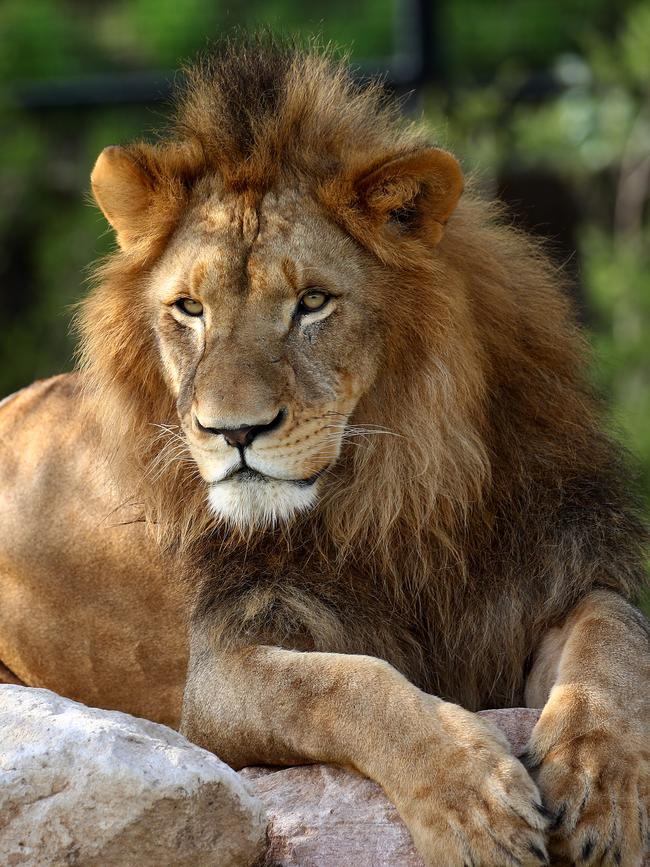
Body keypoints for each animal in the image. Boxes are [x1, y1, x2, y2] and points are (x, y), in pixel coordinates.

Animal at [1, 35, 648, 867]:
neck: (400, 492)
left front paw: (603, 783)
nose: (234, 431)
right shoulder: (219, 675)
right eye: (190, 308)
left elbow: (614, 636)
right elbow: (345, 685)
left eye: (312, 303)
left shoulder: (553, 578)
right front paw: (475, 805)